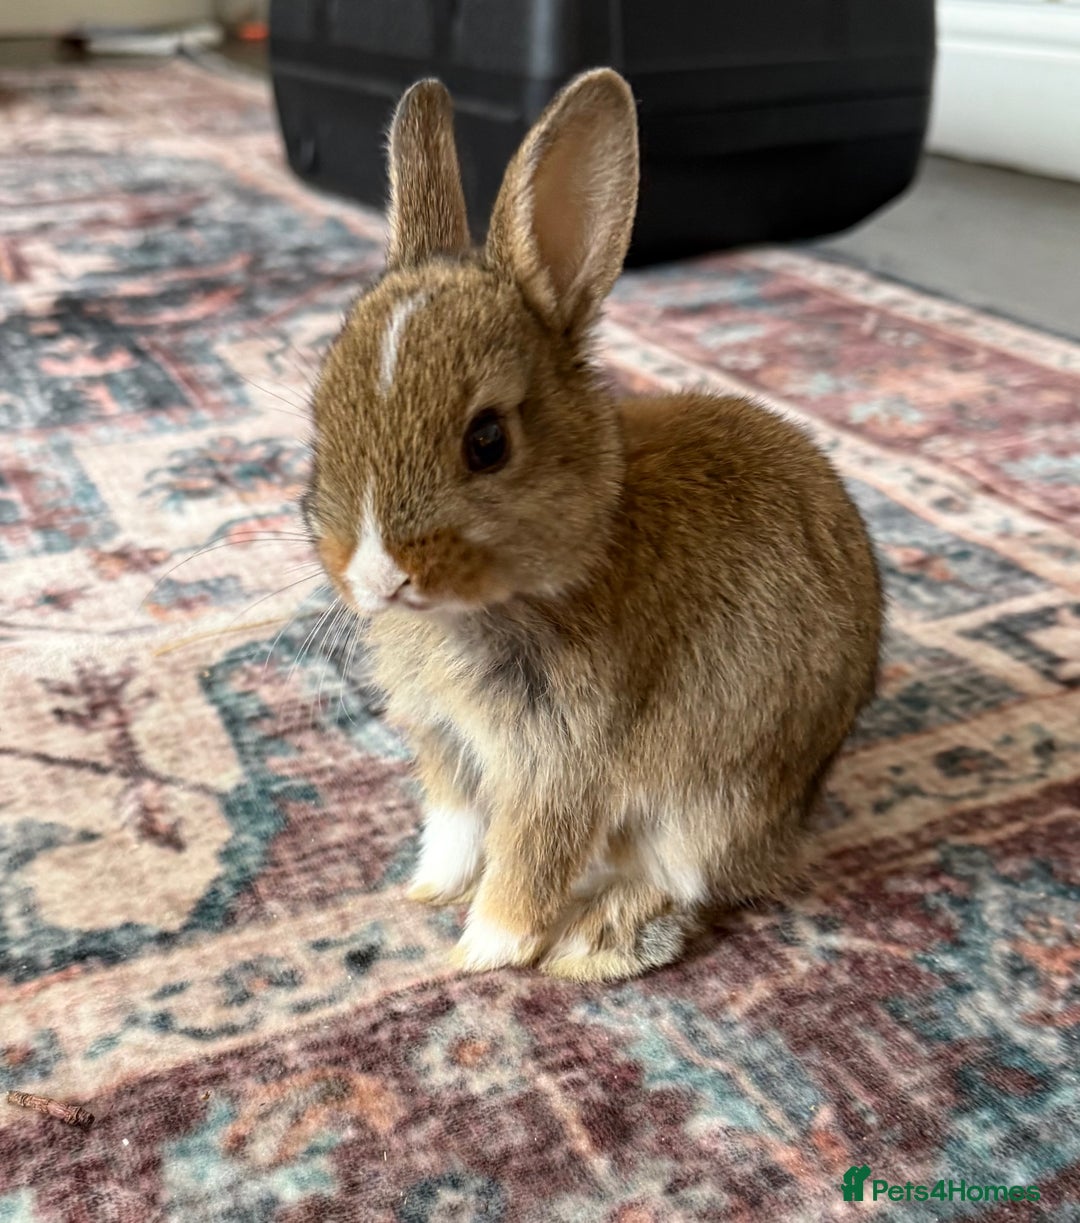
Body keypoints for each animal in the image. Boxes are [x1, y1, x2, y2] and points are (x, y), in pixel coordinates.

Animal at [302, 68, 883, 982]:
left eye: (488, 440)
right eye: (320, 416)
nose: (374, 573)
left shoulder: (566, 760)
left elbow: (529, 859)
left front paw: (480, 951)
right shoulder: (452, 749)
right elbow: (457, 826)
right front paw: (428, 891)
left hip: (715, 800)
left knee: (687, 879)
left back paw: (594, 943)